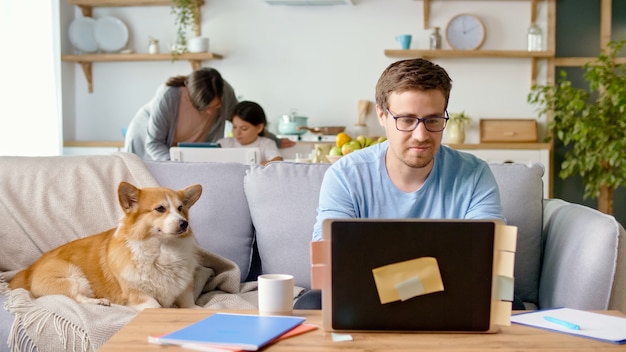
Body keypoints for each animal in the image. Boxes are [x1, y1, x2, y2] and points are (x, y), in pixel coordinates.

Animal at [8, 182, 202, 310]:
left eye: (181, 208)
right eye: (160, 209)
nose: (184, 223)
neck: (163, 250)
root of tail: (31, 269)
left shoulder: (184, 291)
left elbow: (191, 306)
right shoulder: (140, 296)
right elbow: (156, 307)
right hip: (73, 278)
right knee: (76, 297)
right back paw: (99, 301)